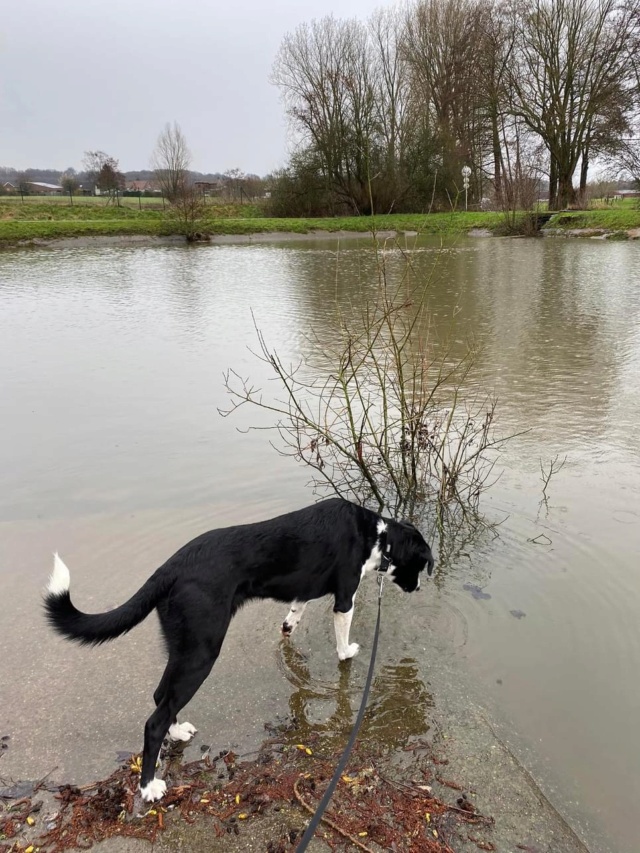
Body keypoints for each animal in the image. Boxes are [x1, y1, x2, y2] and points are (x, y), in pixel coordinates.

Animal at [43, 496, 436, 804]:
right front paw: (347, 652)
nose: (418, 589)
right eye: (420, 565)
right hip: (202, 652)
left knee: (160, 698)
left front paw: (289, 626)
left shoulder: (304, 590)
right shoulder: (344, 599)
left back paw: (176, 732)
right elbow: (342, 640)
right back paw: (149, 786)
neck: (378, 536)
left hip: (185, 648)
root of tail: (170, 567)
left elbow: (296, 610)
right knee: (154, 721)